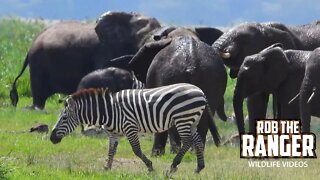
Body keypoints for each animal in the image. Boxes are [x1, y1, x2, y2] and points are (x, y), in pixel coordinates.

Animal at [9, 11, 160, 109]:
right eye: (141, 37)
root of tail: (30, 48)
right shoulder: (104, 49)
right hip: (38, 64)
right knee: (39, 95)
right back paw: (37, 108)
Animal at [50, 83, 214, 173]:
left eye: (64, 118)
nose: (51, 138)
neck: (109, 111)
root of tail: (201, 92)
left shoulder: (130, 127)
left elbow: (136, 150)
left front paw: (150, 166)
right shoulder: (113, 134)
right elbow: (111, 151)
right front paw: (107, 168)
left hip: (183, 119)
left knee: (187, 142)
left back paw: (173, 166)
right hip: (192, 121)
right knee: (198, 141)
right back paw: (199, 168)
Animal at [127, 26, 228, 156]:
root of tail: (192, 65)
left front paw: (156, 155)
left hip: (171, 78)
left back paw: (175, 152)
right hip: (211, 80)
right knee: (202, 119)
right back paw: (194, 152)